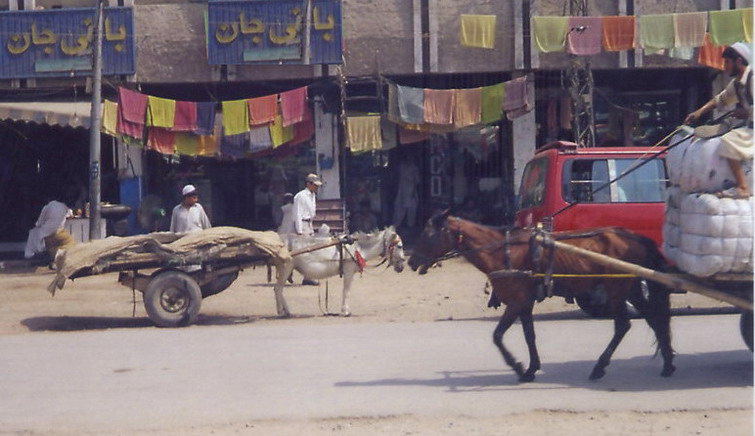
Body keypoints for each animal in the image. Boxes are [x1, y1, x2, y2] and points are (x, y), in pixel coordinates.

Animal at [410, 211, 676, 382]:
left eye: (428, 233)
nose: (411, 261)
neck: (503, 251)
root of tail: (634, 236)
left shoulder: (516, 302)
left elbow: (497, 336)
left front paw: (518, 367)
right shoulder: (525, 304)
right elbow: (530, 335)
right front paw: (530, 369)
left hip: (616, 290)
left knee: (623, 325)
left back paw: (599, 367)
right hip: (631, 288)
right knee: (653, 319)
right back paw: (668, 364)